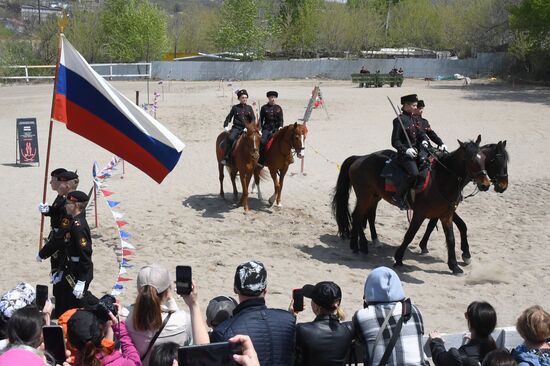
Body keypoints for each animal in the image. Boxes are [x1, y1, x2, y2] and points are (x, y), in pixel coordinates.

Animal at [334, 136, 494, 274]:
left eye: (484, 158)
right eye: (471, 160)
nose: (486, 184)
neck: (441, 180)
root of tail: (360, 158)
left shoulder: (446, 215)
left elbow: (451, 238)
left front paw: (454, 266)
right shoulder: (420, 214)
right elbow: (410, 235)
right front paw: (398, 259)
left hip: (374, 197)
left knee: (365, 216)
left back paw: (362, 244)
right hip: (365, 197)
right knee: (357, 216)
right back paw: (358, 246)